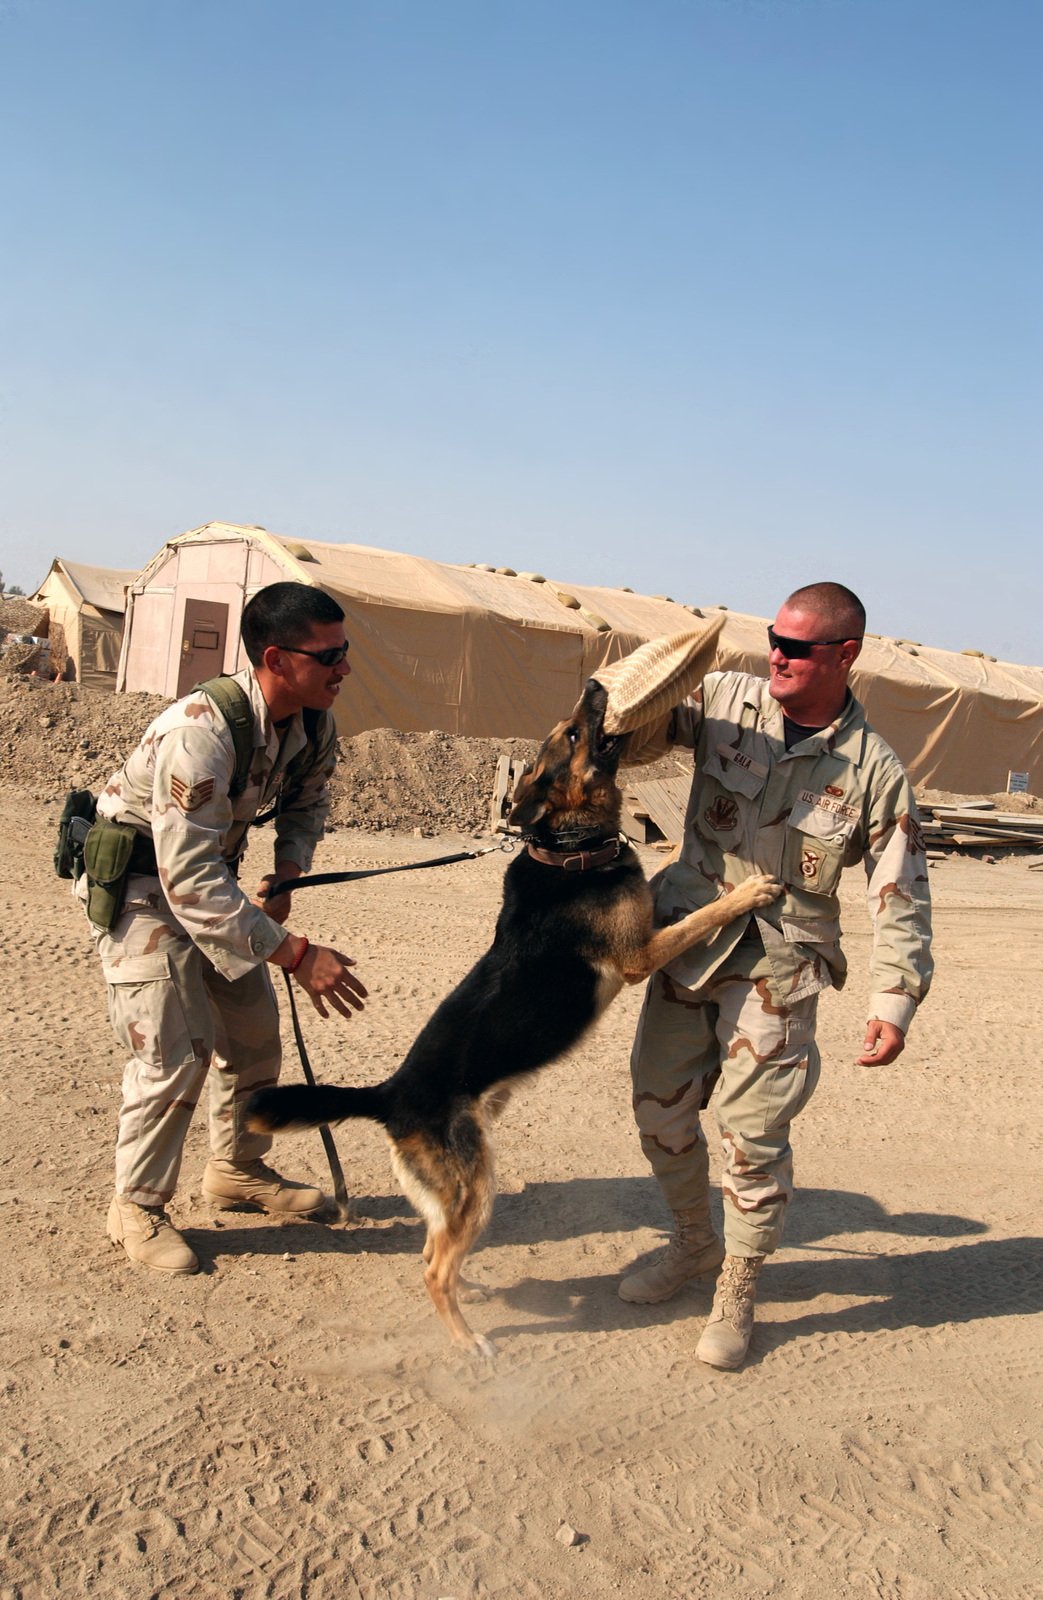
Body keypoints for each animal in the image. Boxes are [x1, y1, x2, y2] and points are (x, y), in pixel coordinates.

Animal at [246, 672, 780, 1350]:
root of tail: (390, 1093)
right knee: (433, 1269)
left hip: (458, 1190)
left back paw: (470, 1292)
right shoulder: (639, 954)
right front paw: (748, 891)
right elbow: (702, 916)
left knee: (433, 1250)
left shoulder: (642, 919)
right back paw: (469, 1341)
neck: (566, 846)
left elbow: (667, 881)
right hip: (476, 1186)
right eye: (574, 734)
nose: (594, 683)